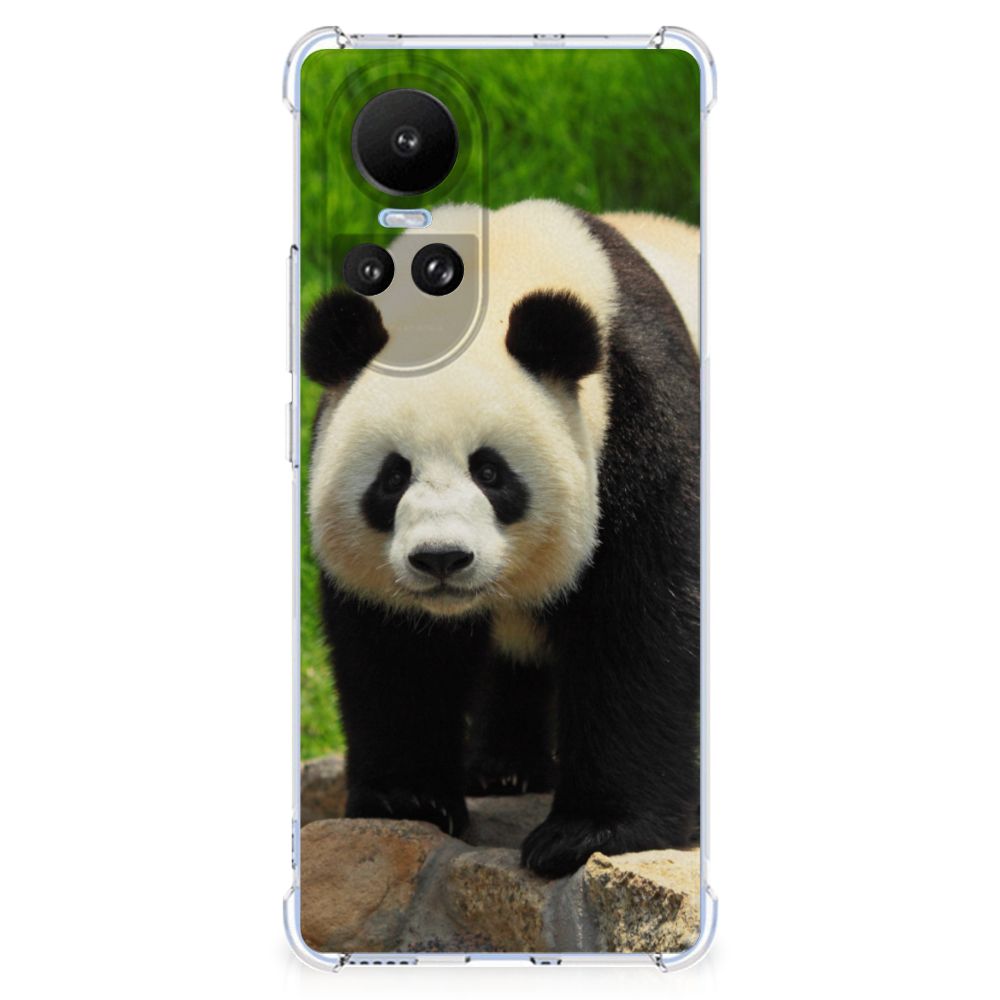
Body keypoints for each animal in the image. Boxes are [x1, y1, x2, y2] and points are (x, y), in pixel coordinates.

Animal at [304, 200, 700, 878]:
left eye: (490, 472)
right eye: (392, 477)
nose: (441, 558)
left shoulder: (641, 417)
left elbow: (642, 621)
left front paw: (588, 832)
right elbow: (394, 648)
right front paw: (408, 799)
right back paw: (504, 770)